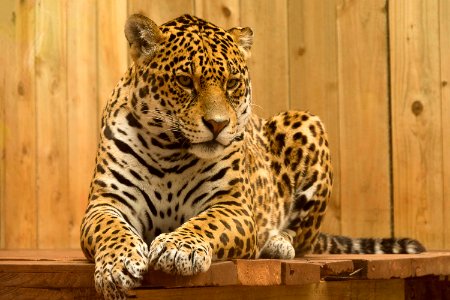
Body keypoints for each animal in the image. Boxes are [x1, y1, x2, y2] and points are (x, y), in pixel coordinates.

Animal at [81, 14, 426, 300]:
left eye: (232, 83)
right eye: (185, 81)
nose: (218, 124)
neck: (170, 151)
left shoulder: (233, 206)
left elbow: (205, 223)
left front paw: (179, 247)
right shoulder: (105, 203)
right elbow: (110, 229)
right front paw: (117, 266)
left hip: (307, 123)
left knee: (302, 237)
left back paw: (277, 243)